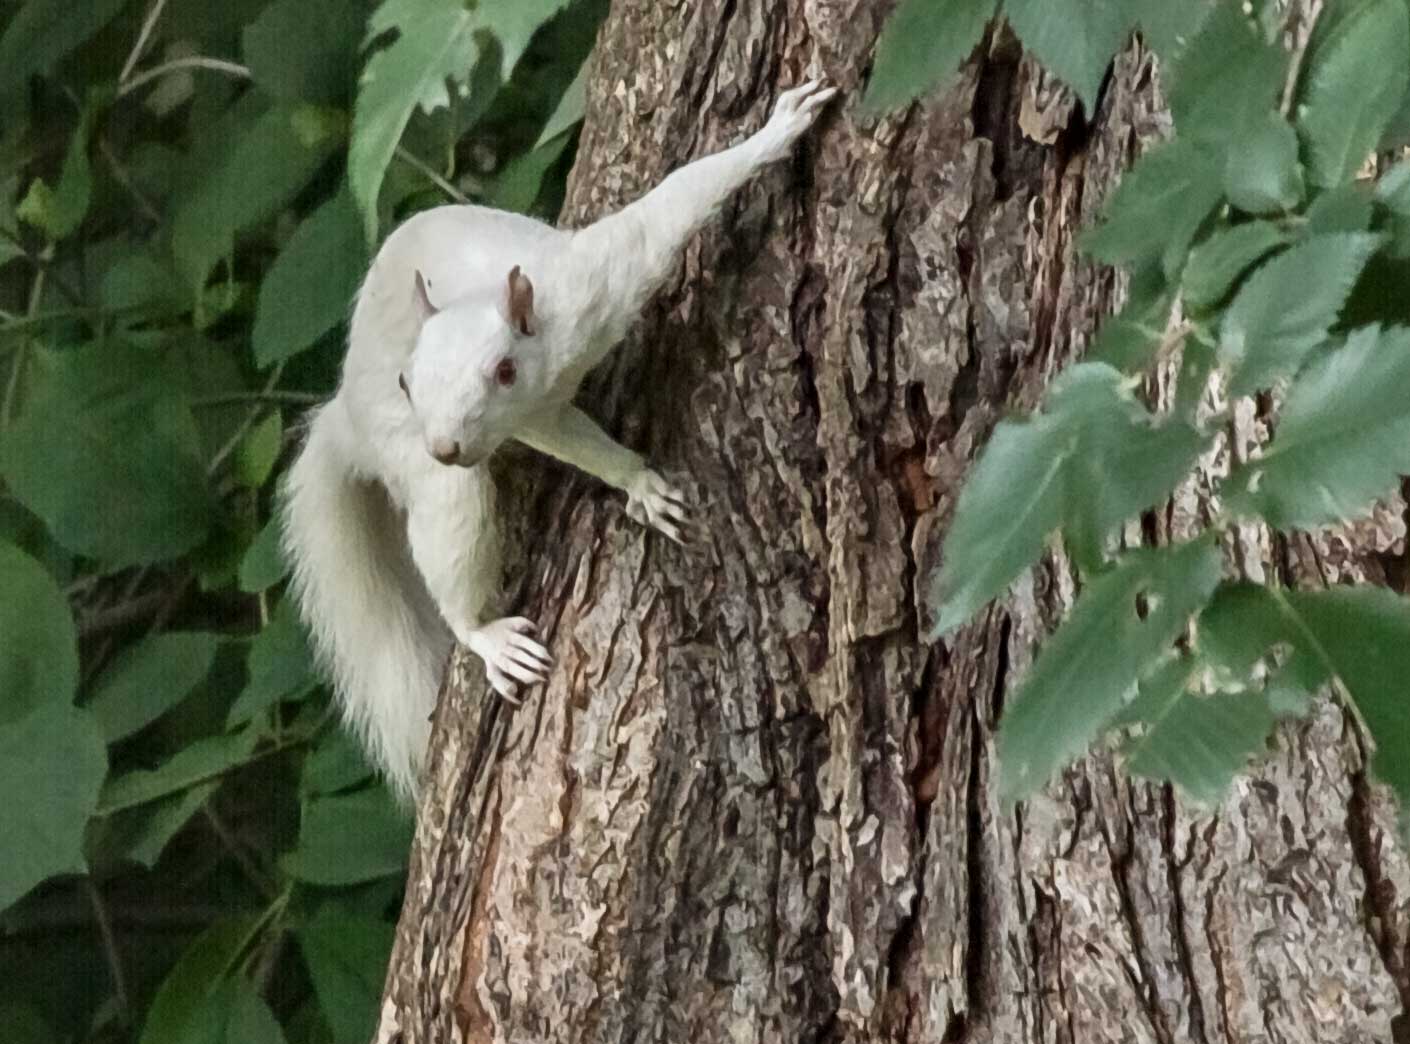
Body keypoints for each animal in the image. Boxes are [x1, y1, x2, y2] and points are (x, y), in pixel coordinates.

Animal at [281, 79, 838, 803]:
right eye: (407, 381)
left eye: (502, 370)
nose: (445, 446)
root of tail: (348, 414)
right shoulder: (538, 403)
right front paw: (637, 480)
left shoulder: (590, 291)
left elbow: (672, 206)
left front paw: (775, 130)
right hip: (418, 468)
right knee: (452, 530)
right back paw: (486, 636)